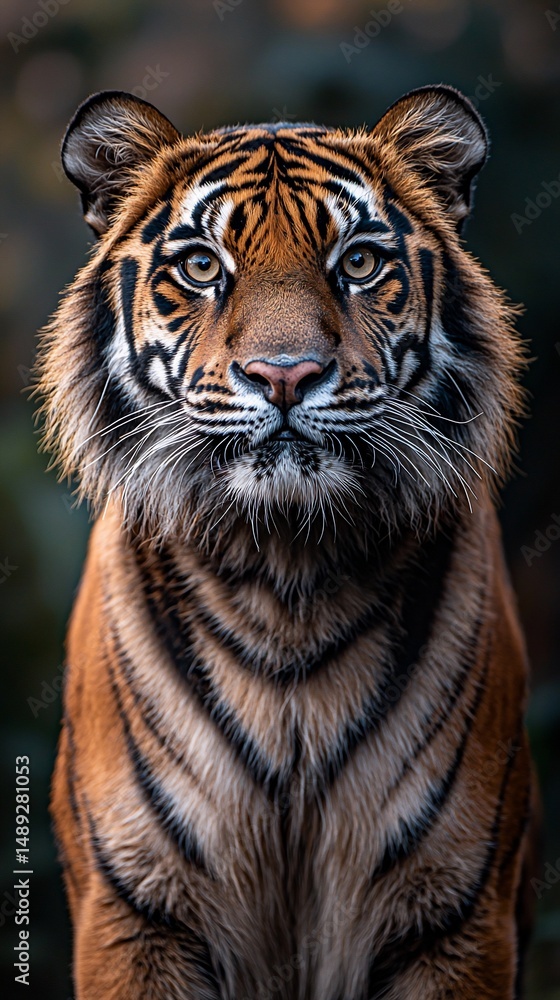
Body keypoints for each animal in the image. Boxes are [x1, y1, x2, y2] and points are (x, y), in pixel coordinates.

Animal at [35, 85, 535, 999]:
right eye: (203, 267)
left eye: (359, 263)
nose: (285, 375)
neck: (286, 573)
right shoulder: (137, 912)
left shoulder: (455, 913)